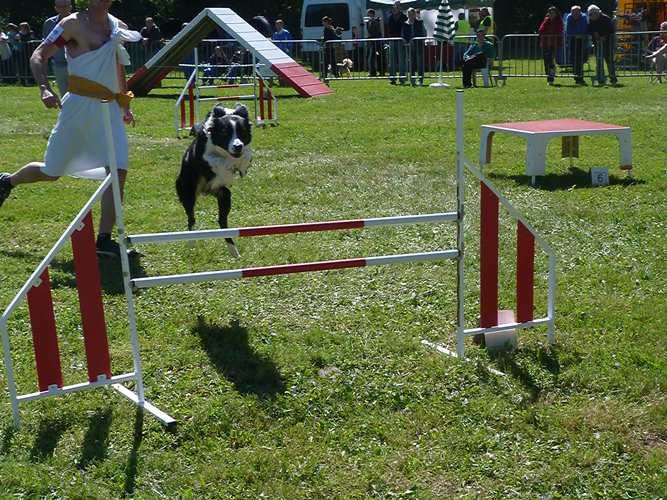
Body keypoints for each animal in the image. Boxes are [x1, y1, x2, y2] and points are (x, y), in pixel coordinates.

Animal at [176, 103, 252, 256]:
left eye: (242, 132)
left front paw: (240, 166)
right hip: (188, 192)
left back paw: (234, 252)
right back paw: (191, 243)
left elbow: (247, 154)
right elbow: (217, 160)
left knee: (222, 222)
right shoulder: (203, 157)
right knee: (191, 219)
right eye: (225, 133)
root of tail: (205, 191)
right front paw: (228, 166)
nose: (237, 146)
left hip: (225, 195)